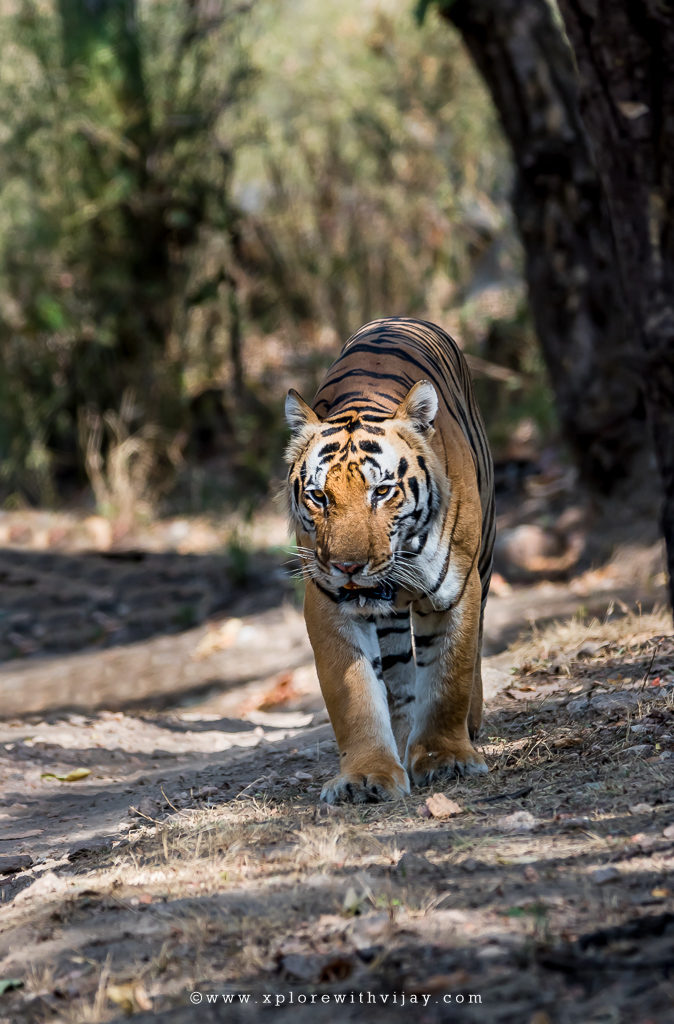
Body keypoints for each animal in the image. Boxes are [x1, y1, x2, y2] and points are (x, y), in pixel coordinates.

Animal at [282, 315, 493, 802]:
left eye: (381, 491)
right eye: (319, 496)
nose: (348, 567)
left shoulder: (457, 590)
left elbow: (449, 676)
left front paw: (446, 758)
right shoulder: (328, 603)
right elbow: (355, 695)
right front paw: (366, 776)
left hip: (486, 556)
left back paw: (470, 725)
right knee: (397, 676)